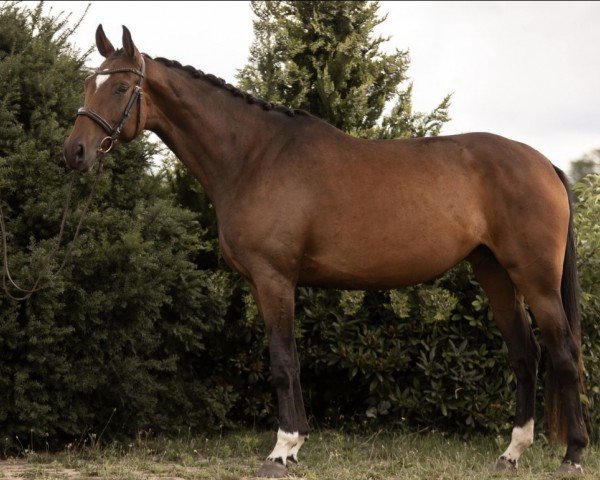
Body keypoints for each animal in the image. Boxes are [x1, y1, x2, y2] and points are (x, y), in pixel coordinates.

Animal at [63, 27, 588, 480]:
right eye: (89, 83)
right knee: (524, 353)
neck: (253, 157)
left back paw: (573, 454)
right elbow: (290, 360)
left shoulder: (275, 279)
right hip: (494, 271)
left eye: (121, 87)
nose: (75, 153)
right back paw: (512, 452)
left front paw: (281, 450)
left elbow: (283, 362)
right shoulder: (269, 283)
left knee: (563, 352)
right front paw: (294, 445)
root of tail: (544, 163)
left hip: (535, 279)